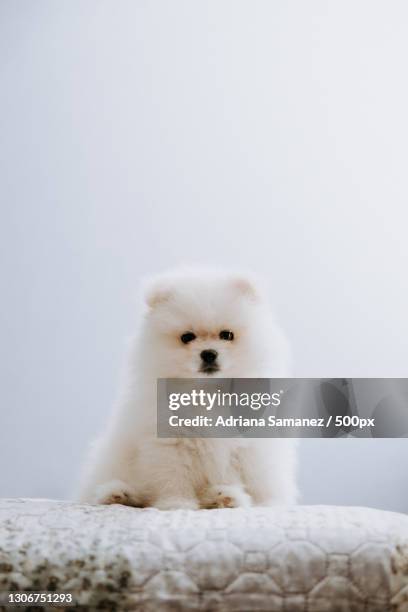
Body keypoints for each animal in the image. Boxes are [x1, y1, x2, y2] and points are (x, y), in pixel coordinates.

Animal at [78, 270, 298, 510]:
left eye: (227, 335)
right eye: (187, 337)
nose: (209, 353)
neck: (207, 393)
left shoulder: (251, 446)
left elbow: (253, 478)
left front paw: (263, 503)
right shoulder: (169, 442)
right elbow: (174, 478)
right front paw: (177, 503)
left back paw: (223, 497)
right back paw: (118, 493)